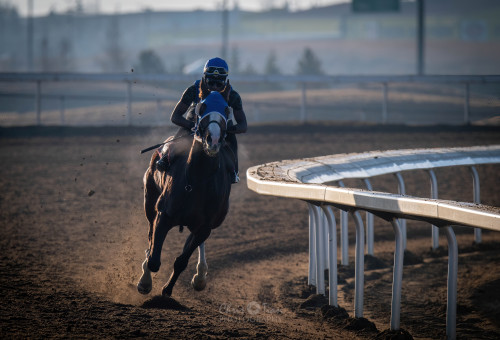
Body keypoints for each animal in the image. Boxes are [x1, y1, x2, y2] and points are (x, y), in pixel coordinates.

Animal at [138, 89, 233, 296]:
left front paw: (167, 289)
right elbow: (154, 258)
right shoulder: (164, 214)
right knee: (149, 235)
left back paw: (200, 275)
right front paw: (145, 281)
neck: (196, 180)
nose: (213, 140)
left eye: (226, 110)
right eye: (202, 108)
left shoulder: (204, 226)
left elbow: (181, 261)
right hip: (149, 201)